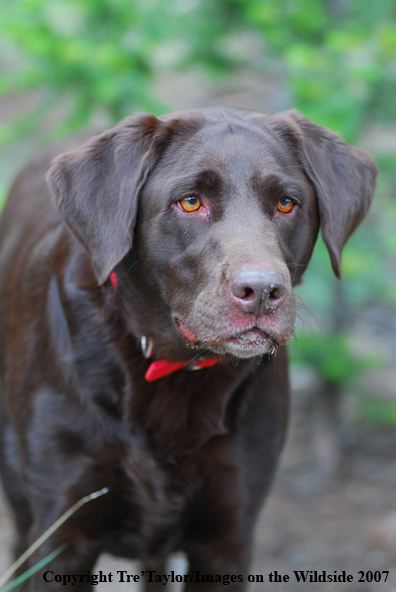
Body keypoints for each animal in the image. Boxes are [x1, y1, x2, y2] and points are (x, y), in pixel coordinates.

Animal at [0, 108, 378, 588]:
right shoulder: (60, 536)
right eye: (191, 202)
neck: (175, 372)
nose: (261, 290)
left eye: (286, 203)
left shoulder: (227, 537)